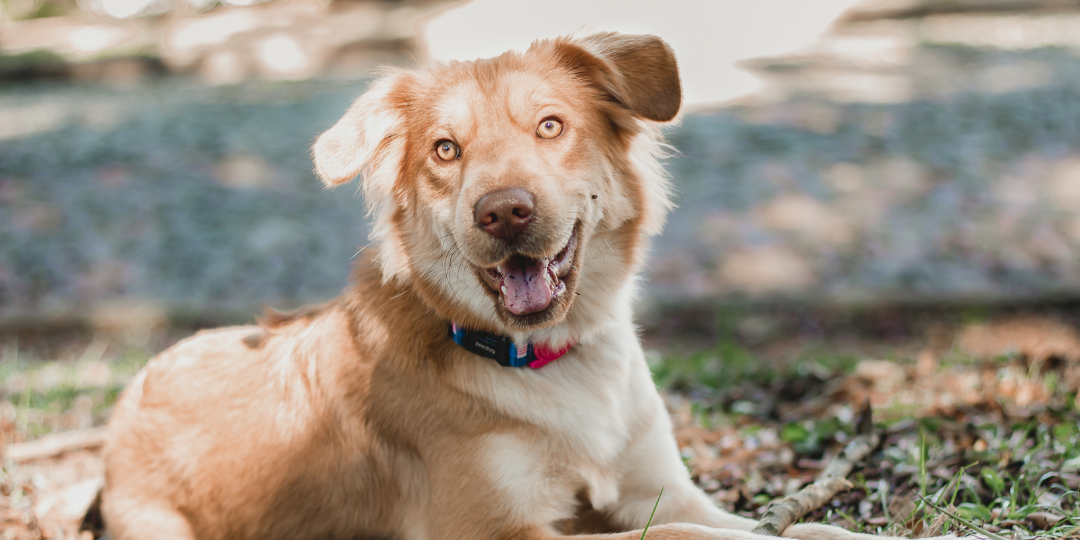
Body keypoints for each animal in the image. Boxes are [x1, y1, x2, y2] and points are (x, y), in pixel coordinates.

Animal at [101, 32, 963, 540]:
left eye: (550, 125)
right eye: (445, 150)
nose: (506, 211)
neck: (546, 360)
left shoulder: (664, 487)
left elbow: (752, 527)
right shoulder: (495, 530)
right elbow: (667, 539)